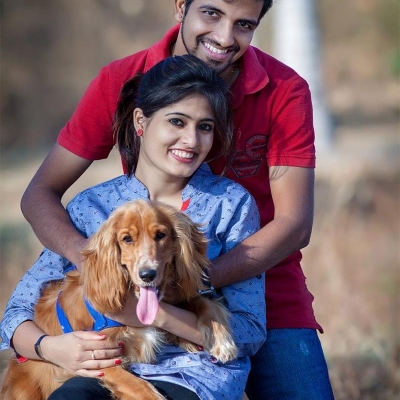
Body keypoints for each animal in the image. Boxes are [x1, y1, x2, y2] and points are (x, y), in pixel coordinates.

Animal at [1, 199, 238, 400]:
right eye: (127, 239)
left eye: (160, 235)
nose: (147, 274)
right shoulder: (95, 357)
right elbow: (137, 385)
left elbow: (204, 303)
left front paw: (220, 339)